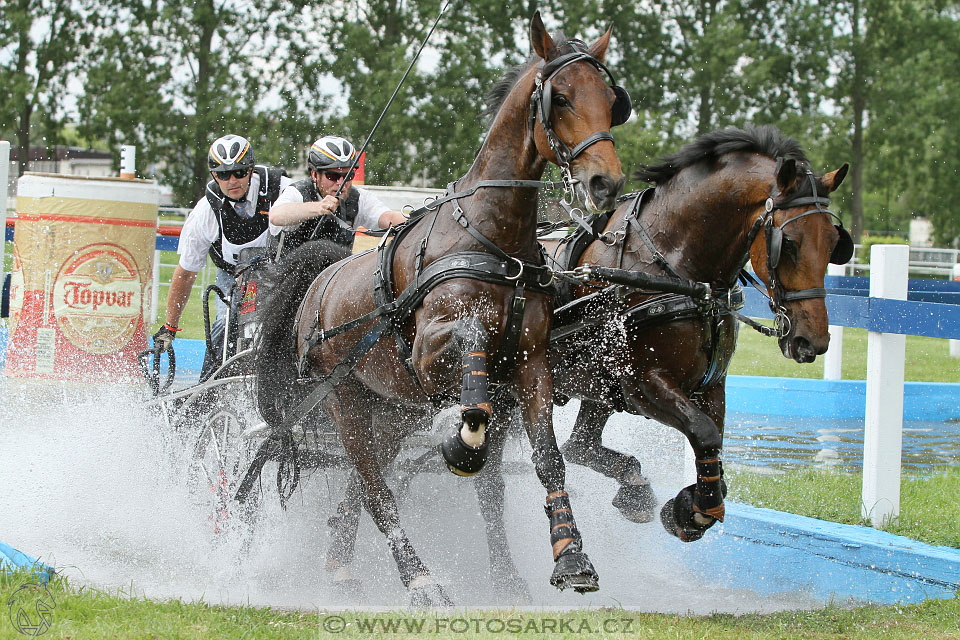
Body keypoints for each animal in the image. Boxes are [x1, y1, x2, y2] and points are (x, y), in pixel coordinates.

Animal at [255, 12, 632, 608]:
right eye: (563, 98)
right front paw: (462, 443)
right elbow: (474, 364)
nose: (606, 182)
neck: (492, 238)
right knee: (374, 486)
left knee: (367, 481)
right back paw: (420, 579)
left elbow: (549, 457)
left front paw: (572, 557)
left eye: (612, 99)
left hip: (393, 408)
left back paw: (341, 564)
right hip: (343, 399)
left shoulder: (531, 364)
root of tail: (319, 282)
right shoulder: (431, 354)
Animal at [544, 124, 852, 540]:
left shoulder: (710, 384)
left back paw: (633, 487)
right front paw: (696, 512)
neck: (678, 271)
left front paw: (696, 500)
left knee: (579, 446)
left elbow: (714, 443)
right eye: (787, 243)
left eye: (835, 243)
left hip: (595, 390)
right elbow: (704, 433)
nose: (811, 340)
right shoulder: (644, 385)